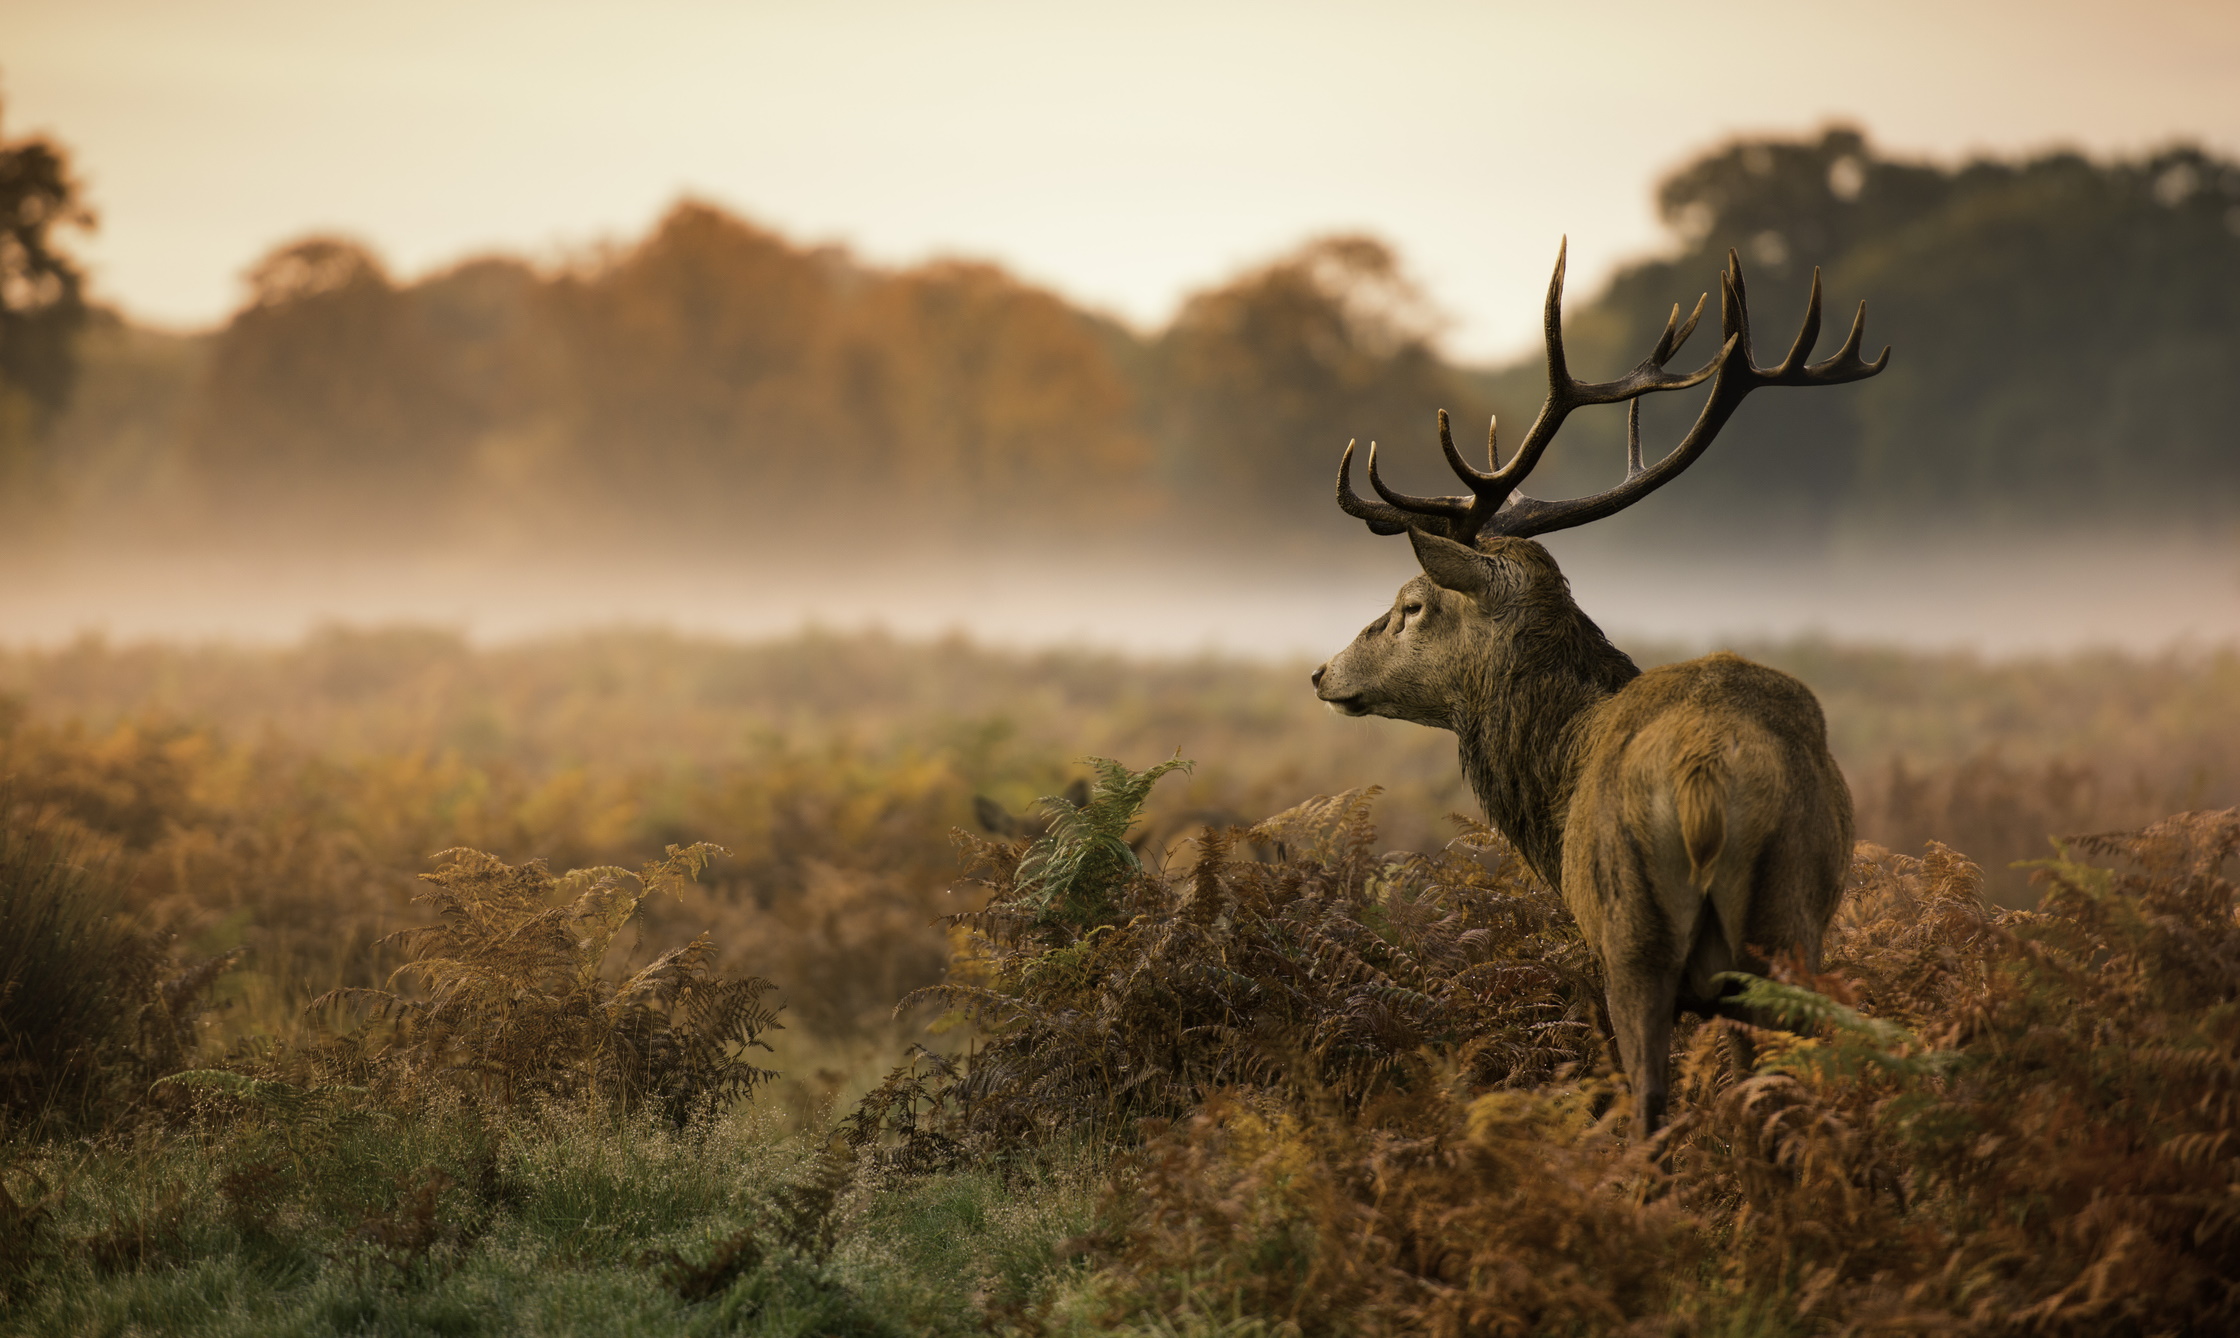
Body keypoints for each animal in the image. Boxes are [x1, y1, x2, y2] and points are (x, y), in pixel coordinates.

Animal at [1308, 243, 1890, 1125]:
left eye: (1411, 604)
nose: (1323, 671)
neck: (1560, 765)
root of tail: (1703, 780)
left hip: (1634, 936)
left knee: (1649, 1101)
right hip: (1791, 921)